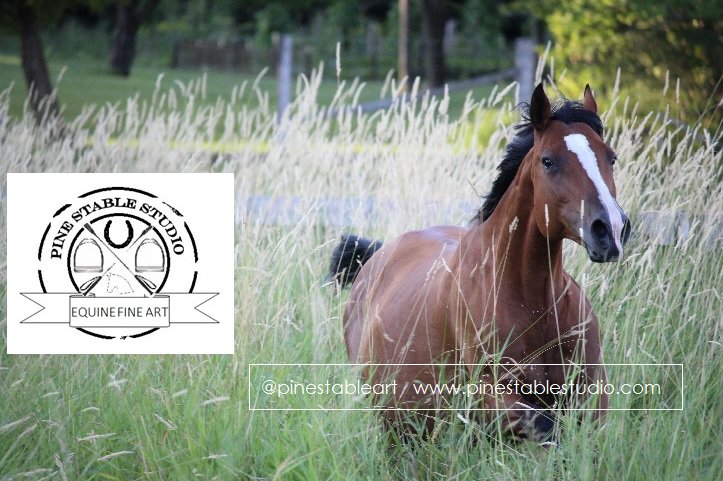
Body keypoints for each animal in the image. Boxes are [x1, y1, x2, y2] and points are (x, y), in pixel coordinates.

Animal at [327, 83, 631, 442]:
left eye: (611, 157)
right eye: (548, 161)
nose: (610, 229)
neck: (536, 306)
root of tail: (376, 257)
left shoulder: (592, 398)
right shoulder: (490, 394)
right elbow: (546, 426)